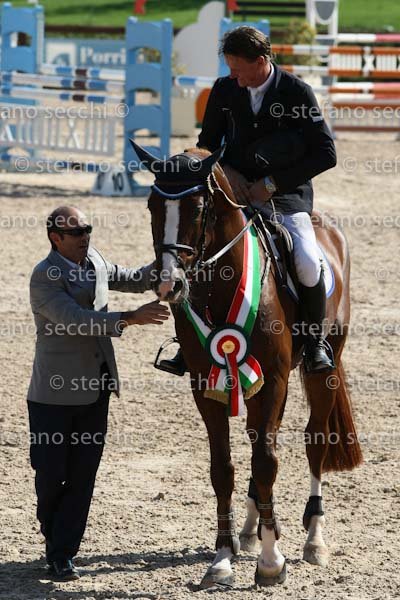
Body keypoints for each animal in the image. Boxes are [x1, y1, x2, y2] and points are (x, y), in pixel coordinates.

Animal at [131, 140, 363, 588]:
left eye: (198, 208)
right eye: (151, 205)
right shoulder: (206, 385)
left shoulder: (271, 379)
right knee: (260, 440)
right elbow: (224, 467)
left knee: (313, 442)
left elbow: (268, 461)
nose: (169, 284)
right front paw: (223, 556)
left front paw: (272, 561)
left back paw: (313, 539)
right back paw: (251, 530)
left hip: (323, 367)